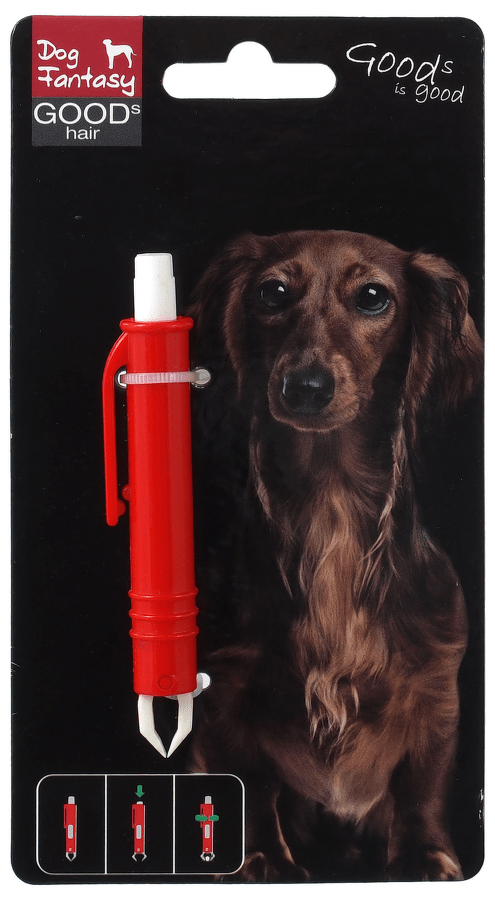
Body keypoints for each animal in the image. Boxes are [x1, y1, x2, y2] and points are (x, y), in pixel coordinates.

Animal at [186, 230, 483, 883]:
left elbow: (422, 786)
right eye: (272, 292)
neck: (330, 506)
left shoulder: (435, 688)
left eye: (373, 297)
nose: (306, 387)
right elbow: (249, 783)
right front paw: (260, 859)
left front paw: (425, 855)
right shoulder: (226, 687)